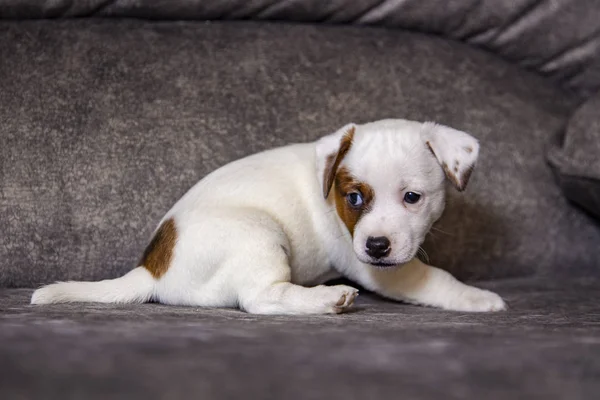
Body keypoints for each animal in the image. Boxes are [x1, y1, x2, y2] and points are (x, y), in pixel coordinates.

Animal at [32, 120, 506, 314]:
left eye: (412, 197)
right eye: (354, 198)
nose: (376, 246)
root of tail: (153, 268)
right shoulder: (377, 268)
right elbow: (434, 279)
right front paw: (477, 297)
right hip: (259, 234)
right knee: (260, 299)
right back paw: (326, 299)